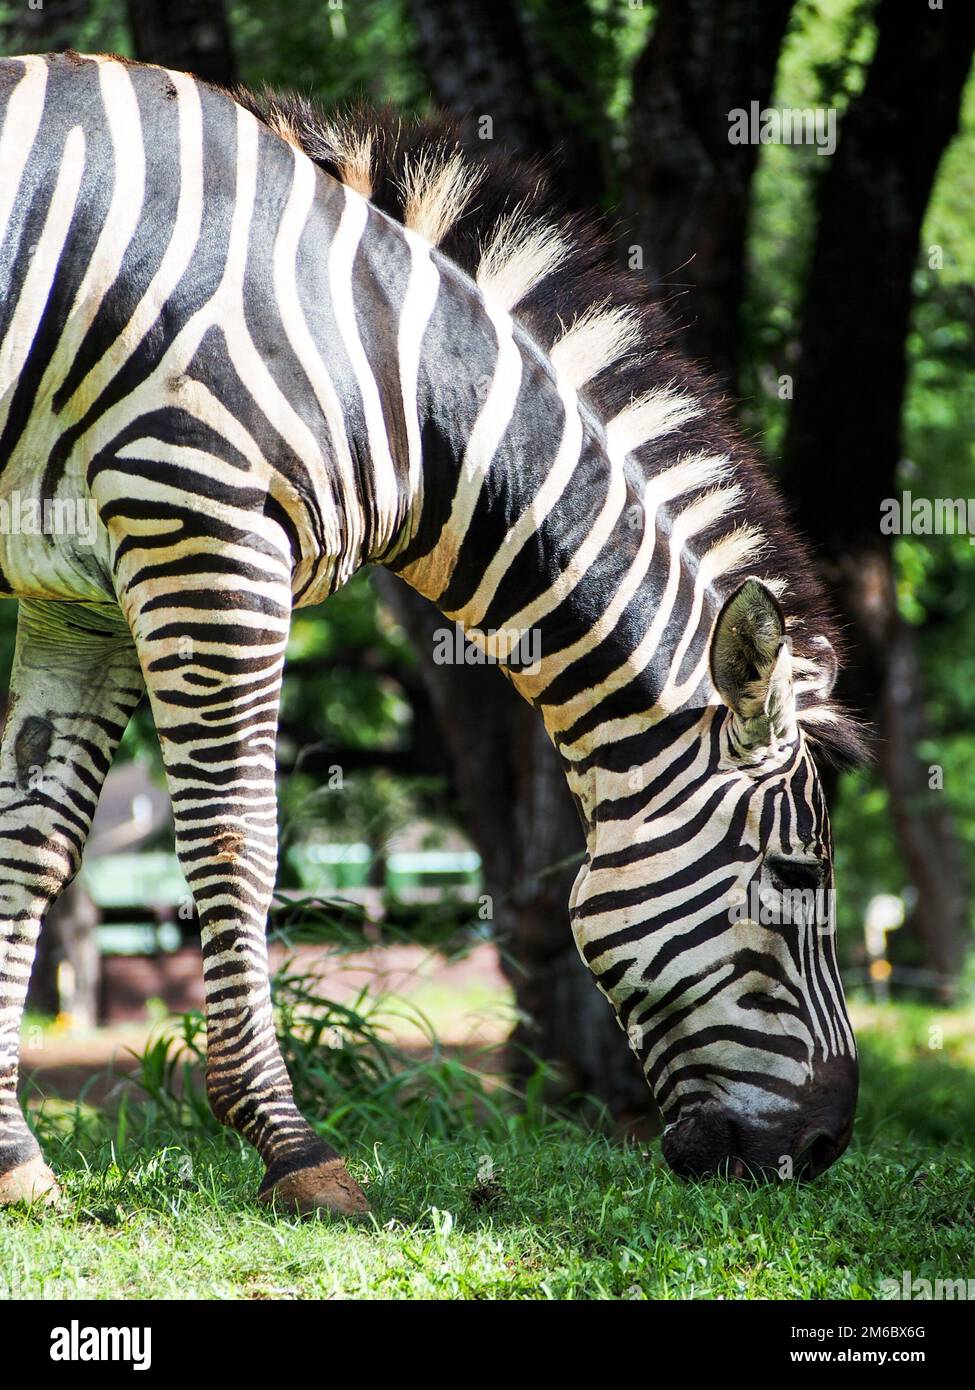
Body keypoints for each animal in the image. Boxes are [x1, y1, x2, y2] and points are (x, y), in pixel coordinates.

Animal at [0, 52, 863, 1215]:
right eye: (798, 876)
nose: (823, 1149)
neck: (383, 365)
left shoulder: (78, 591)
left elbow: (31, 847)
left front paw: (14, 1157)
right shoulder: (202, 522)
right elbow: (238, 841)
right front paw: (293, 1149)